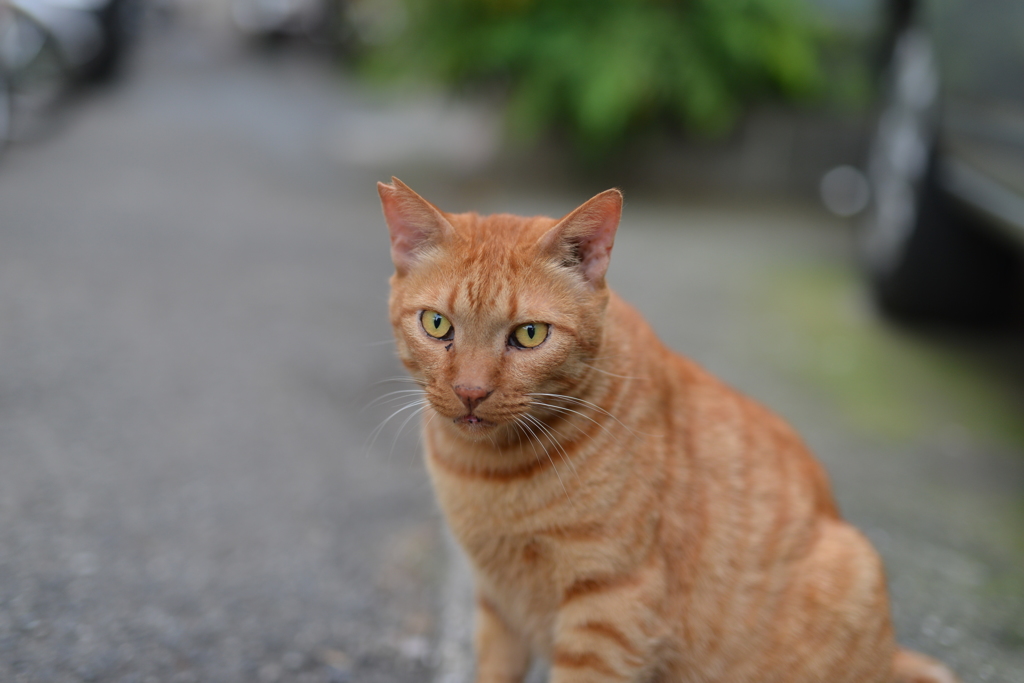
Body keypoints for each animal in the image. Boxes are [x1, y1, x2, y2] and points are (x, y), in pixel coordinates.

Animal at [378, 178, 958, 683]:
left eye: (530, 335)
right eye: (437, 324)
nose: (471, 391)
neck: (486, 474)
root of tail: (892, 655)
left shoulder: (610, 606)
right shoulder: (498, 603)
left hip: (855, 562)